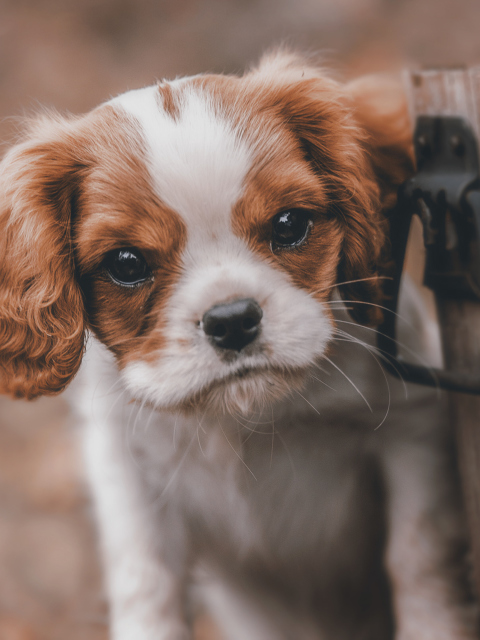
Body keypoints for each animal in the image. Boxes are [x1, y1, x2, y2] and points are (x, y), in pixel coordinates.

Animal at [0, 52, 474, 636]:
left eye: (289, 224)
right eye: (126, 264)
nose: (230, 320)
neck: (242, 416)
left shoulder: (412, 430)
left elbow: (417, 557)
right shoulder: (127, 469)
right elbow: (145, 582)